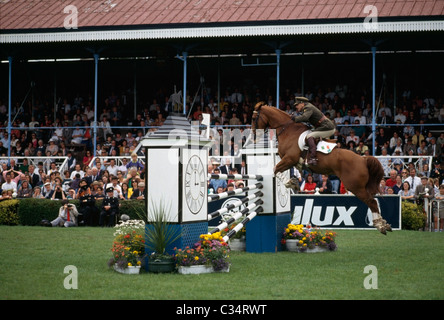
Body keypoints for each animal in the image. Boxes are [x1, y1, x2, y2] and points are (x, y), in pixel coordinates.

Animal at [253, 103, 392, 235]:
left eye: (254, 118)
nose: (253, 136)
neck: (287, 130)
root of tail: (363, 159)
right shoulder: (291, 162)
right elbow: (281, 170)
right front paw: (293, 182)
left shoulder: (289, 159)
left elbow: (275, 169)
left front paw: (290, 183)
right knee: (373, 200)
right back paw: (384, 224)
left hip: (355, 187)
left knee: (372, 201)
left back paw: (380, 226)